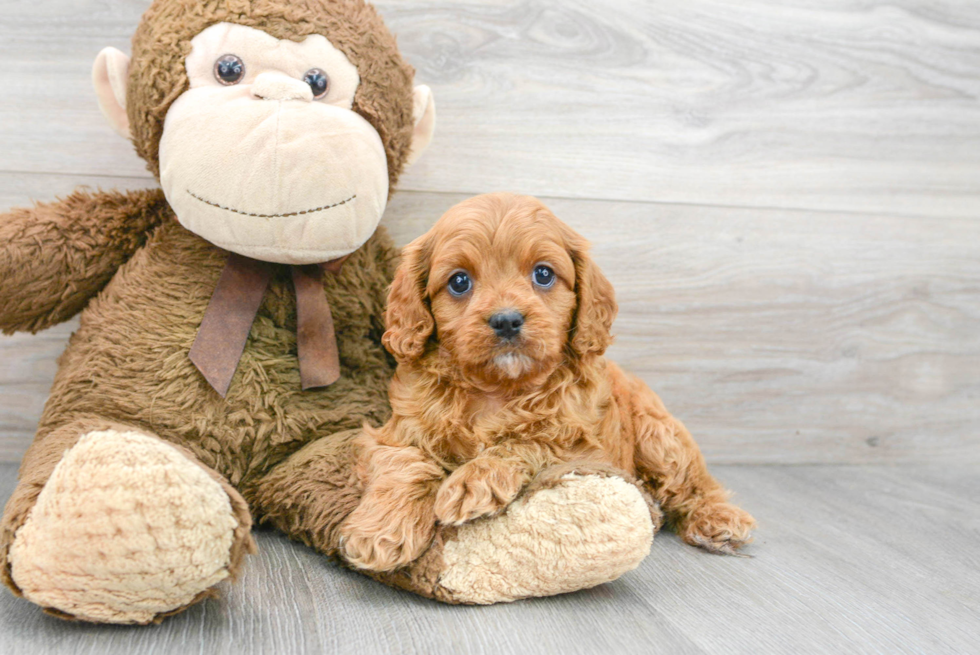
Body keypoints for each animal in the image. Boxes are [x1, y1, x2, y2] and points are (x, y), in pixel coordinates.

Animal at [340, 192, 756, 572]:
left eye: (543, 274)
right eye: (459, 282)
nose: (507, 320)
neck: (495, 388)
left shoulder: (579, 444)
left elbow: (527, 440)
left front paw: (473, 481)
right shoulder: (396, 433)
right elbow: (406, 464)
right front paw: (382, 532)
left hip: (661, 437)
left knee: (694, 484)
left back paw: (718, 519)